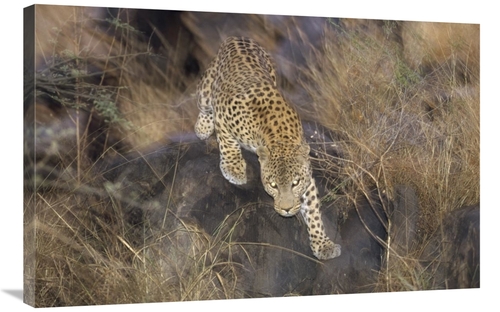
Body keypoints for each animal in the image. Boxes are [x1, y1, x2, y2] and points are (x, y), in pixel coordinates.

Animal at [193, 37, 342, 260]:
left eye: (295, 183)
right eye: (273, 185)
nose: (287, 210)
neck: (278, 138)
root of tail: (238, 38)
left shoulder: (306, 176)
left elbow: (313, 210)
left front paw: (322, 244)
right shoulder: (222, 113)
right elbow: (227, 141)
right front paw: (233, 168)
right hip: (206, 88)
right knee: (203, 103)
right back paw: (202, 128)